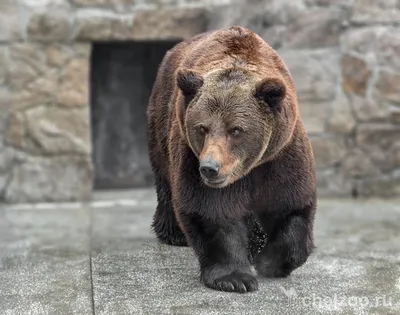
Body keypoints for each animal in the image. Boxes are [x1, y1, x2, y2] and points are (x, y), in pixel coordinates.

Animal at [146, 25, 316, 296]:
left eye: (235, 129)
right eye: (202, 127)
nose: (210, 168)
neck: (250, 167)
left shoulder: (282, 154)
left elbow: (290, 205)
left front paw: (269, 260)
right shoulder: (190, 155)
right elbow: (211, 210)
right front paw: (235, 278)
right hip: (162, 122)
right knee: (165, 179)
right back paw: (173, 234)